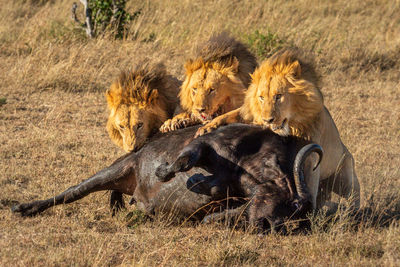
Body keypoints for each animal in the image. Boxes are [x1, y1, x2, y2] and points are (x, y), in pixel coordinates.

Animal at [198, 48, 360, 211]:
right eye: (261, 97)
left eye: (278, 96)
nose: (268, 120)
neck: (292, 126)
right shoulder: (249, 114)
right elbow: (230, 114)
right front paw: (206, 128)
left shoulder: (311, 159)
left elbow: (308, 181)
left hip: (345, 177)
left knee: (354, 196)